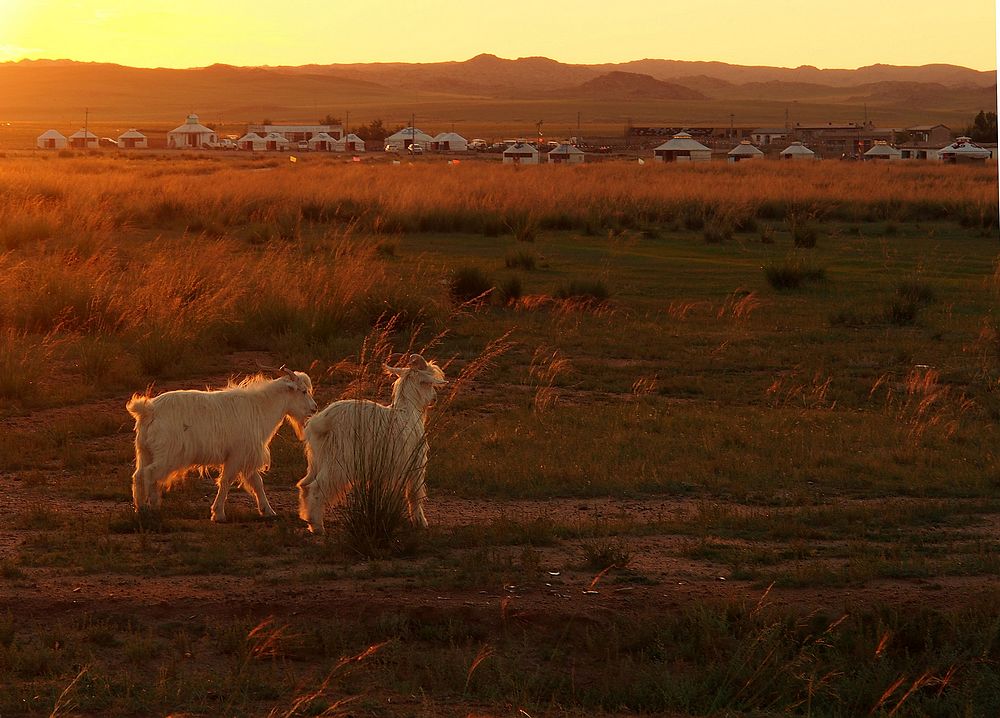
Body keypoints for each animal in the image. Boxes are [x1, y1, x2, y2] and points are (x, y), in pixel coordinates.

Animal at [127, 368, 316, 520]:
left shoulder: (245, 456)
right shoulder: (237, 455)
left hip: (145, 451)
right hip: (168, 455)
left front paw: (268, 511)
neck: (259, 408)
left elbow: (257, 483)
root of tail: (148, 411)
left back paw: (140, 508)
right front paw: (218, 513)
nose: (314, 408)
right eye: (303, 391)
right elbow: (226, 481)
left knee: (138, 475)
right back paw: (150, 508)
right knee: (150, 474)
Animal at [298, 354, 448, 536]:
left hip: (317, 459)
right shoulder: (415, 463)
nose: (434, 398)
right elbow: (414, 494)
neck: (409, 410)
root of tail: (322, 422)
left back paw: (307, 519)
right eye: (429, 383)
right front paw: (420, 521)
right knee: (317, 488)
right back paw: (317, 526)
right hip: (340, 461)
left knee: (304, 485)